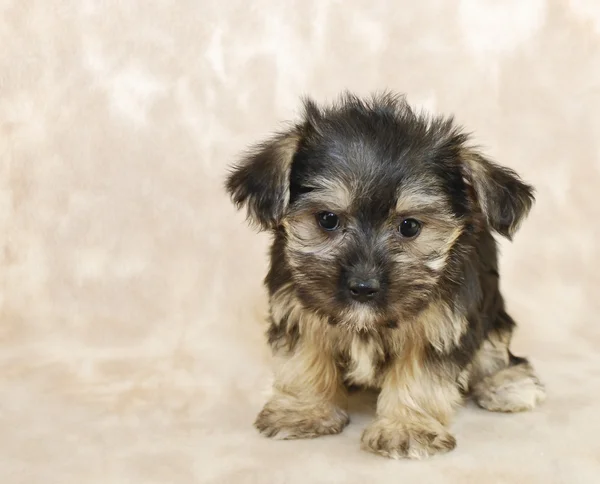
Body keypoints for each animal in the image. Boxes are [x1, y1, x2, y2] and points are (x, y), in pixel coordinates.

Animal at [224, 92, 544, 460]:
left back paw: (508, 385)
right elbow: (303, 358)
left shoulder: (439, 327)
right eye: (327, 219)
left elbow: (419, 376)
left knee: (497, 350)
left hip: (492, 316)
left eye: (410, 226)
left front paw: (406, 428)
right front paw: (304, 412)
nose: (363, 288)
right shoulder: (297, 309)